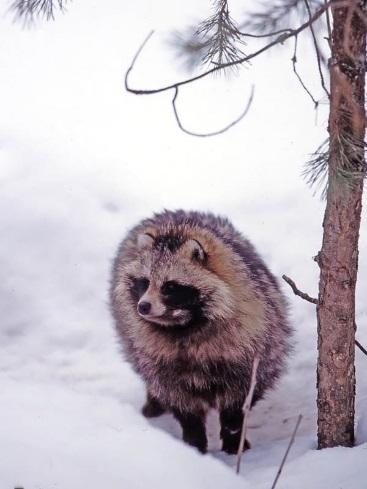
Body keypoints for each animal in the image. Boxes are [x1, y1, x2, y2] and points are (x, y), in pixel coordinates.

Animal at [110, 210, 292, 454]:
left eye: (169, 286)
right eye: (145, 282)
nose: (143, 306)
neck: (184, 326)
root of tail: (174, 213)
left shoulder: (255, 340)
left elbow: (243, 395)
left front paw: (233, 434)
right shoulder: (161, 358)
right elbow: (178, 399)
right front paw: (193, 439)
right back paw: (153, 399)